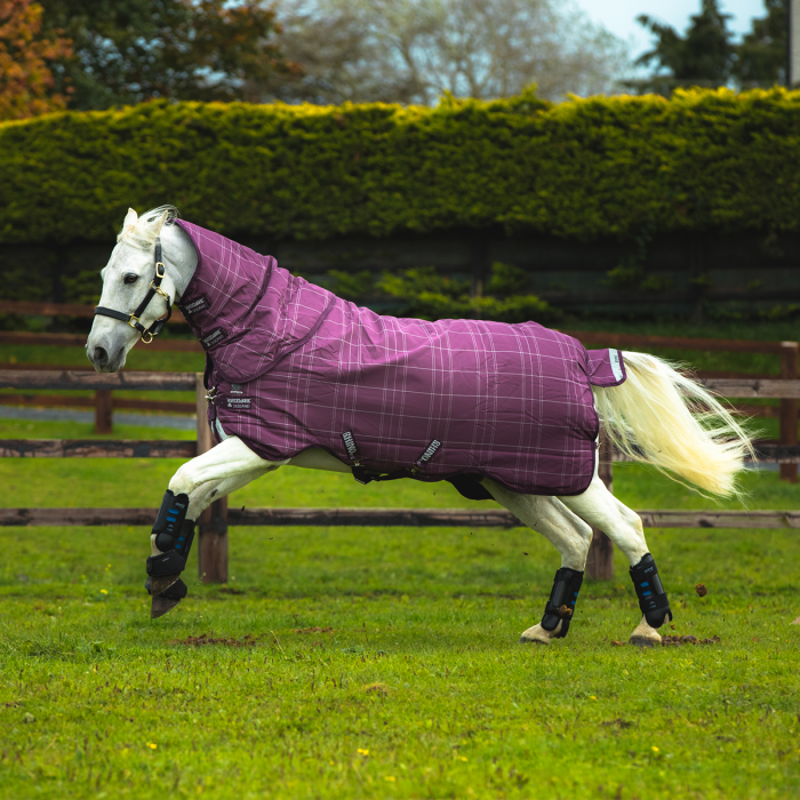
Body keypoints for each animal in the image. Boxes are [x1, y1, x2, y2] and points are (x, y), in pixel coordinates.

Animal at [86, 207, 753, 646]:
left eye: (130, 276)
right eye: (104, 273)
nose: (98, 352)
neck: (272, 330)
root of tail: (582, 357)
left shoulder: (262, 445)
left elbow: (181, 481)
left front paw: (162, 578)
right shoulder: (258, 452)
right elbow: (194, 498)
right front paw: (165, 581)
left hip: (569, 476)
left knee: (625, 526)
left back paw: (648, 628)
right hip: (515, 482)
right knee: (575, 538)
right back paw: (545, 628)